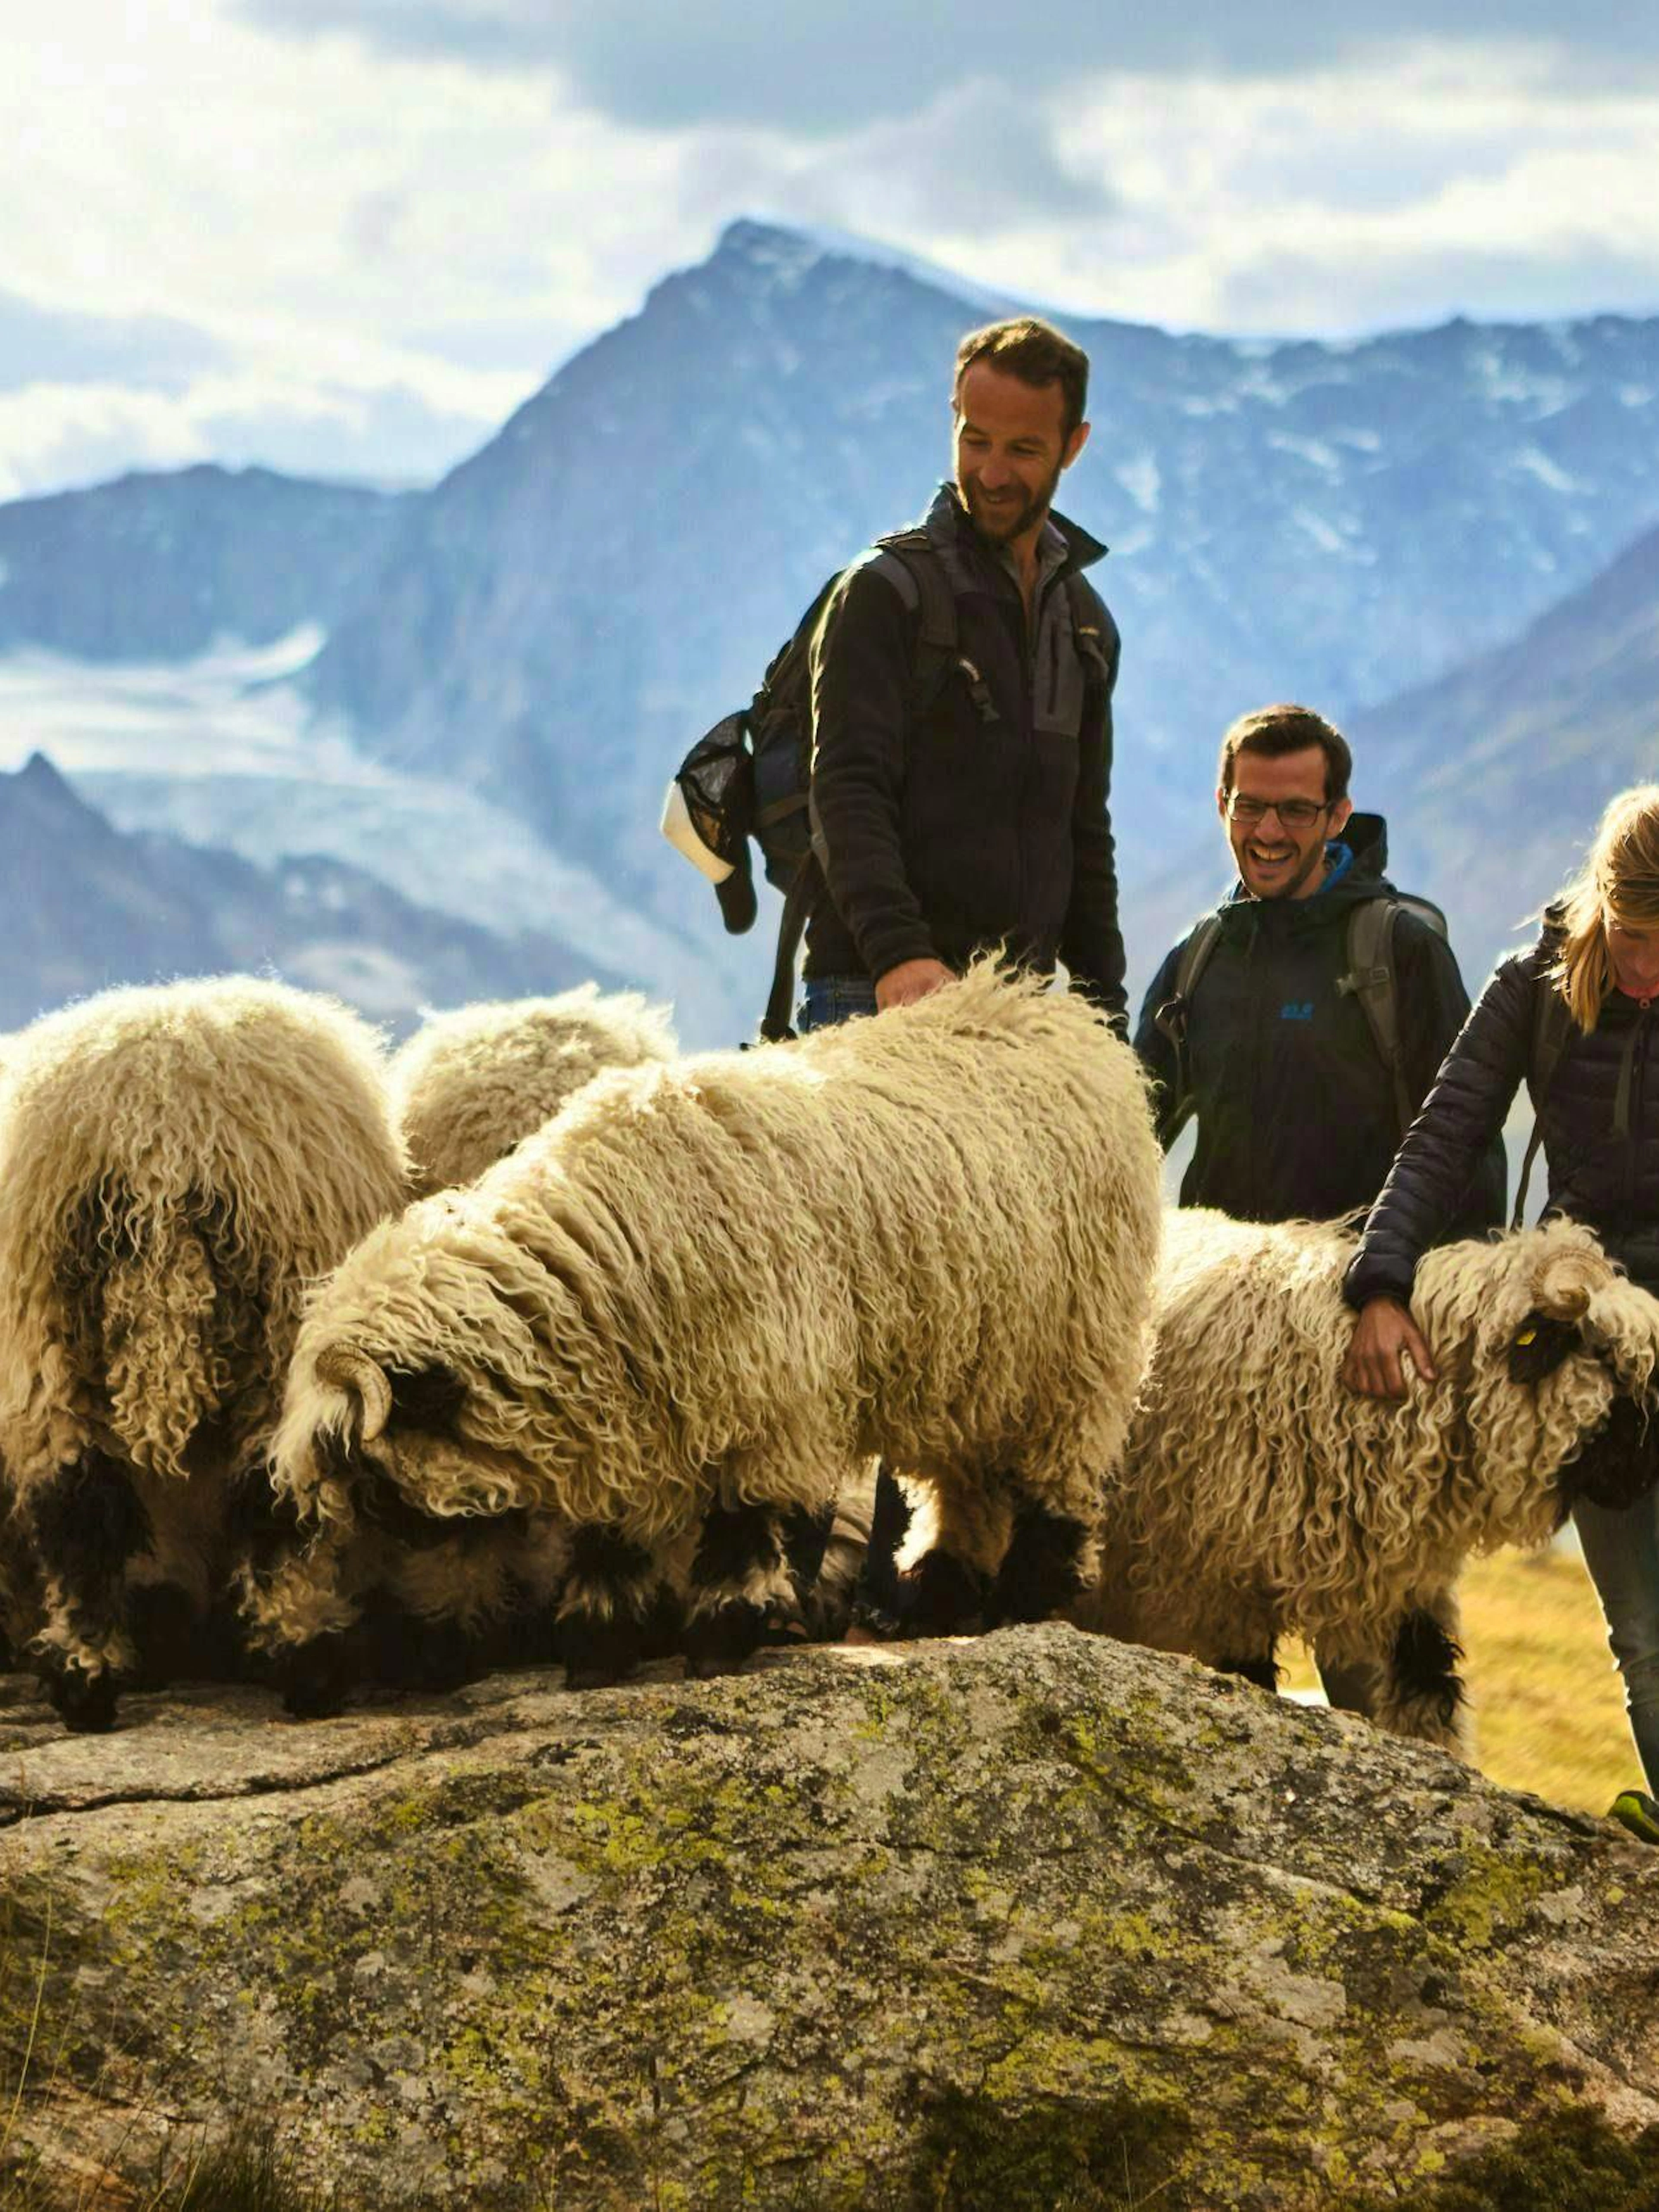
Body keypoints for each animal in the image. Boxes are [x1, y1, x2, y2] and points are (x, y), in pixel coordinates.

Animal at [0, 978, 409, 1730]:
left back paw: (89, 1677)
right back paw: (305, 1659)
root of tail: (162, 1135)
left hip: (46, 1332)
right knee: (271, 1495)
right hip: (281, 1324)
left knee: (77, 1499)